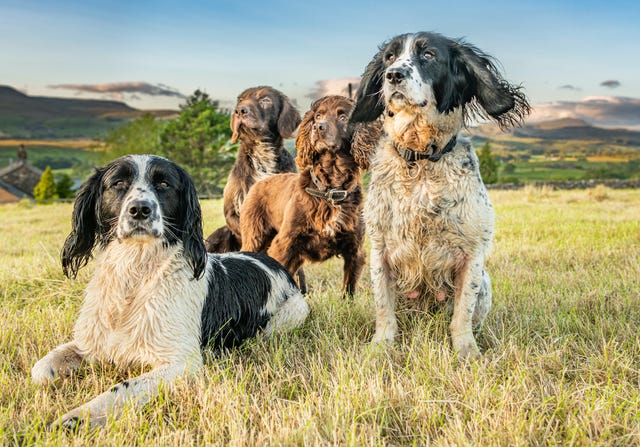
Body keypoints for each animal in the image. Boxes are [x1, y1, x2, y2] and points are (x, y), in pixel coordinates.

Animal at [30, 155, 310, 430]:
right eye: (118, 183)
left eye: (164, 184)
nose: (140, 209)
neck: (136, 277)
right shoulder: (90, 342)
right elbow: (40, 369)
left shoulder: (181, 362)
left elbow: (121, 389)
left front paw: (77, 417)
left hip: (289, 315)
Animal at [240, 96, 380, 300]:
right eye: (318, 116)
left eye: (343, 117)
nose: (318, 127)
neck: (331, 188)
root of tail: (260, 182)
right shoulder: (285, 243)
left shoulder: (355, 249)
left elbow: (349, 288)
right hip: (255, 237)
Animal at [350, 31, 528, 360]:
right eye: (389, 57)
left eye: (429, 55)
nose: (393, 75)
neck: (420, 160)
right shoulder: (380, 250)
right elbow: (384, 310)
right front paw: (381, 346)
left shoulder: (473, 255)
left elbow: (463, 314)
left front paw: (467, 352)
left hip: (485, 280)